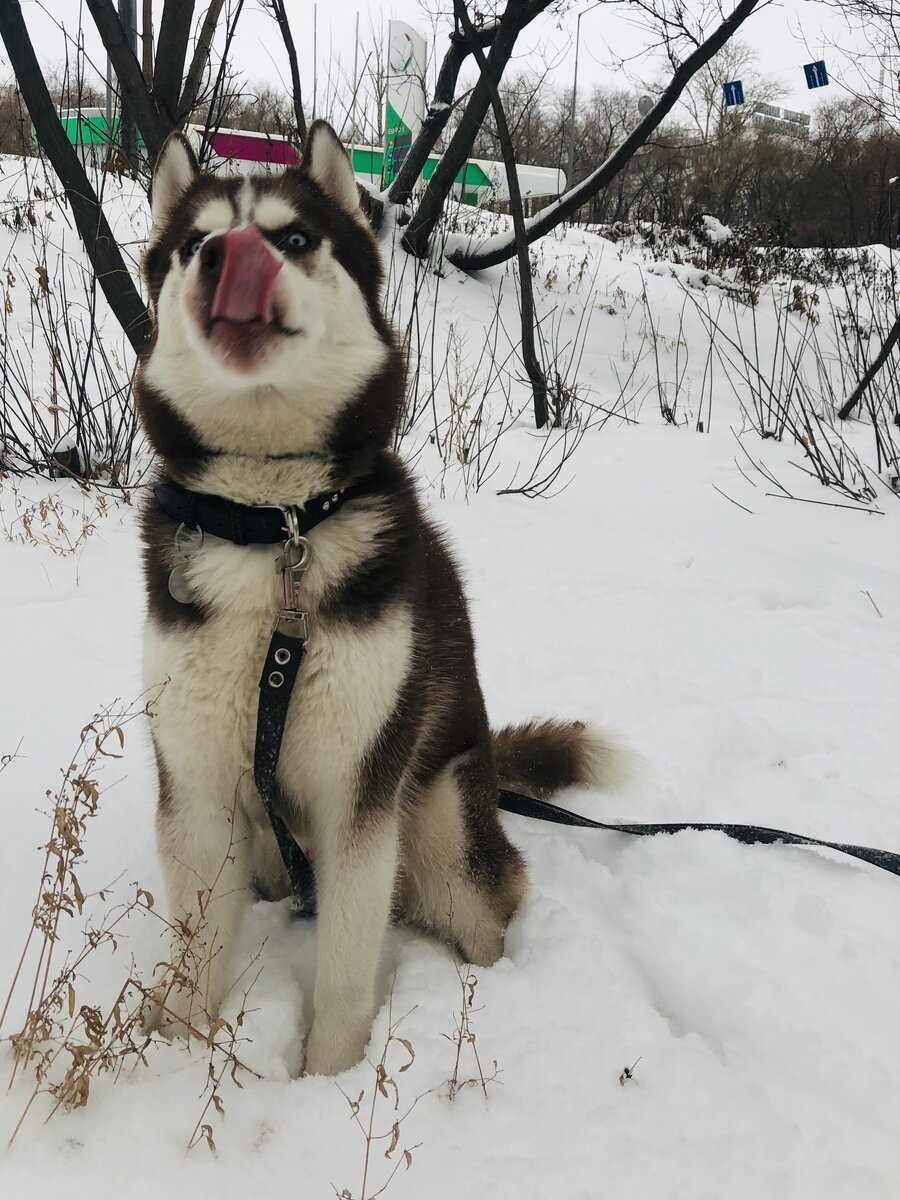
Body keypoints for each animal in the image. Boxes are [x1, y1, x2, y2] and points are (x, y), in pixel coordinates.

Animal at [137, 124, 619, 1080]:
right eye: (192, 243)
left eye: (293, 238)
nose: (227, 256)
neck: (273, 524)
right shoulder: (196, 784)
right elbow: (196, 948)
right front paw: (176, 1050)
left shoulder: (360, 794)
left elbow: (347, 969)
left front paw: (326, 1079)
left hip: (435, 824)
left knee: (486, 905)